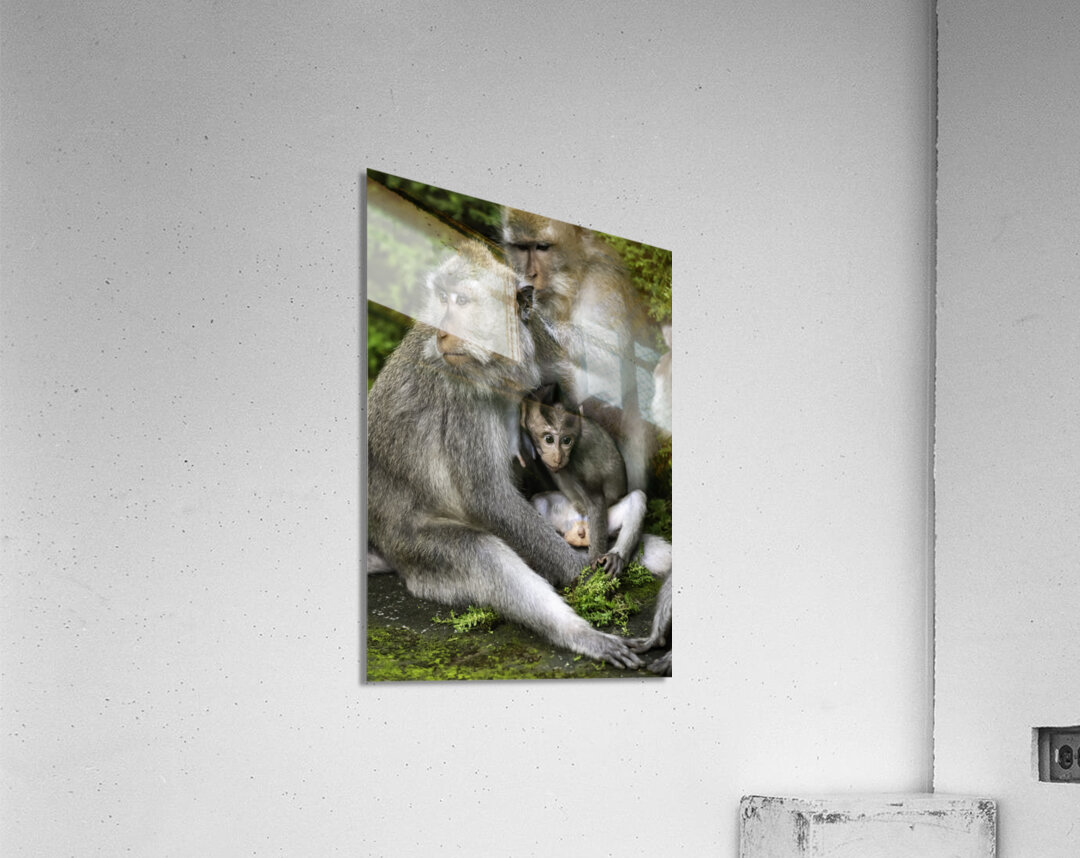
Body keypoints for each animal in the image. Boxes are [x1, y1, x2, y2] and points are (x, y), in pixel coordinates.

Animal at [520, 399, 645, 579]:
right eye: (549, 439)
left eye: (566, 440)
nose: (558, 457)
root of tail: (583, 526)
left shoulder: (579, 458)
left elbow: (596, 500)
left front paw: (594, 561)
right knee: (540, 500)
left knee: (637, 497)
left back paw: (615, 556)